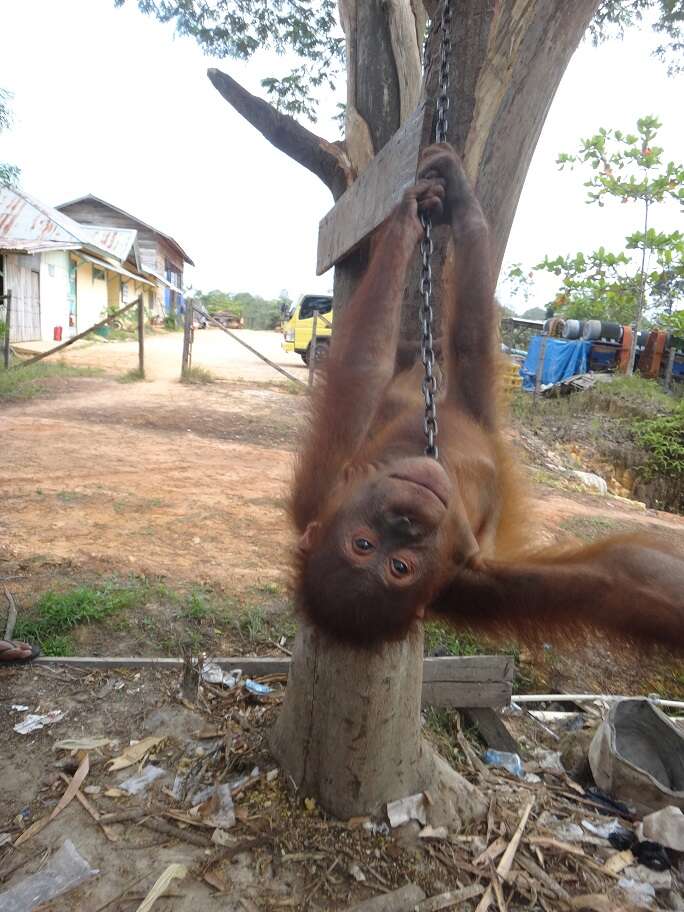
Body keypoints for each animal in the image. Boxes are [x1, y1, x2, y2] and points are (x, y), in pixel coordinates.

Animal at [290, 143, 684, 652]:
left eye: (392, 561)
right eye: (369, 549)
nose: (406, 522)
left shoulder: (316, 494)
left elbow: (632, 579)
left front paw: (406, 215)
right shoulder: (472, 584)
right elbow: (363, 366)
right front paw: (403, 221)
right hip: (477, 405)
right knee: (471, 336)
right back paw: (463, 207)